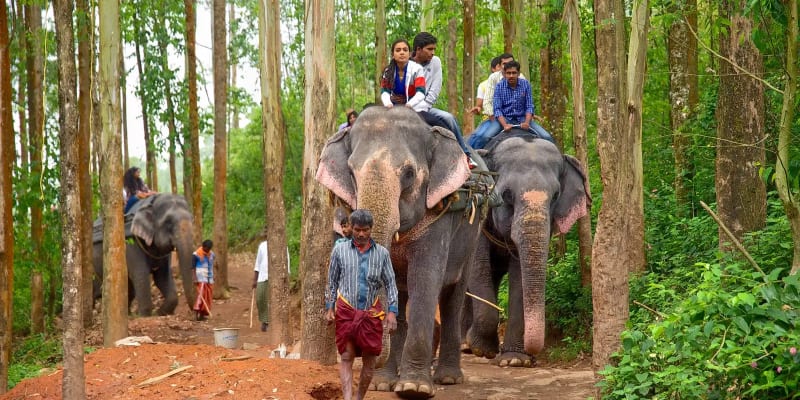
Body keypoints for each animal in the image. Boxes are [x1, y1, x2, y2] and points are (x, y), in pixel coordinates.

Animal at [316, 106, 489, 398]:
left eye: (409, 173)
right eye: (351, 172)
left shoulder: (438, 216)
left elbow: (425, 281)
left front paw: (413, 388)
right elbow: (395, 287)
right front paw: (383, 384)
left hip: (472, 236)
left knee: (452, 297)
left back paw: (448, 378)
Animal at [466, 130, 589, 367]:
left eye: (556, 196)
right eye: (506, 195)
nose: (534, 355)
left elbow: (519, 276)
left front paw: (515, 360)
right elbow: (477, 265)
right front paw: (481, 350)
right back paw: (465, 346)